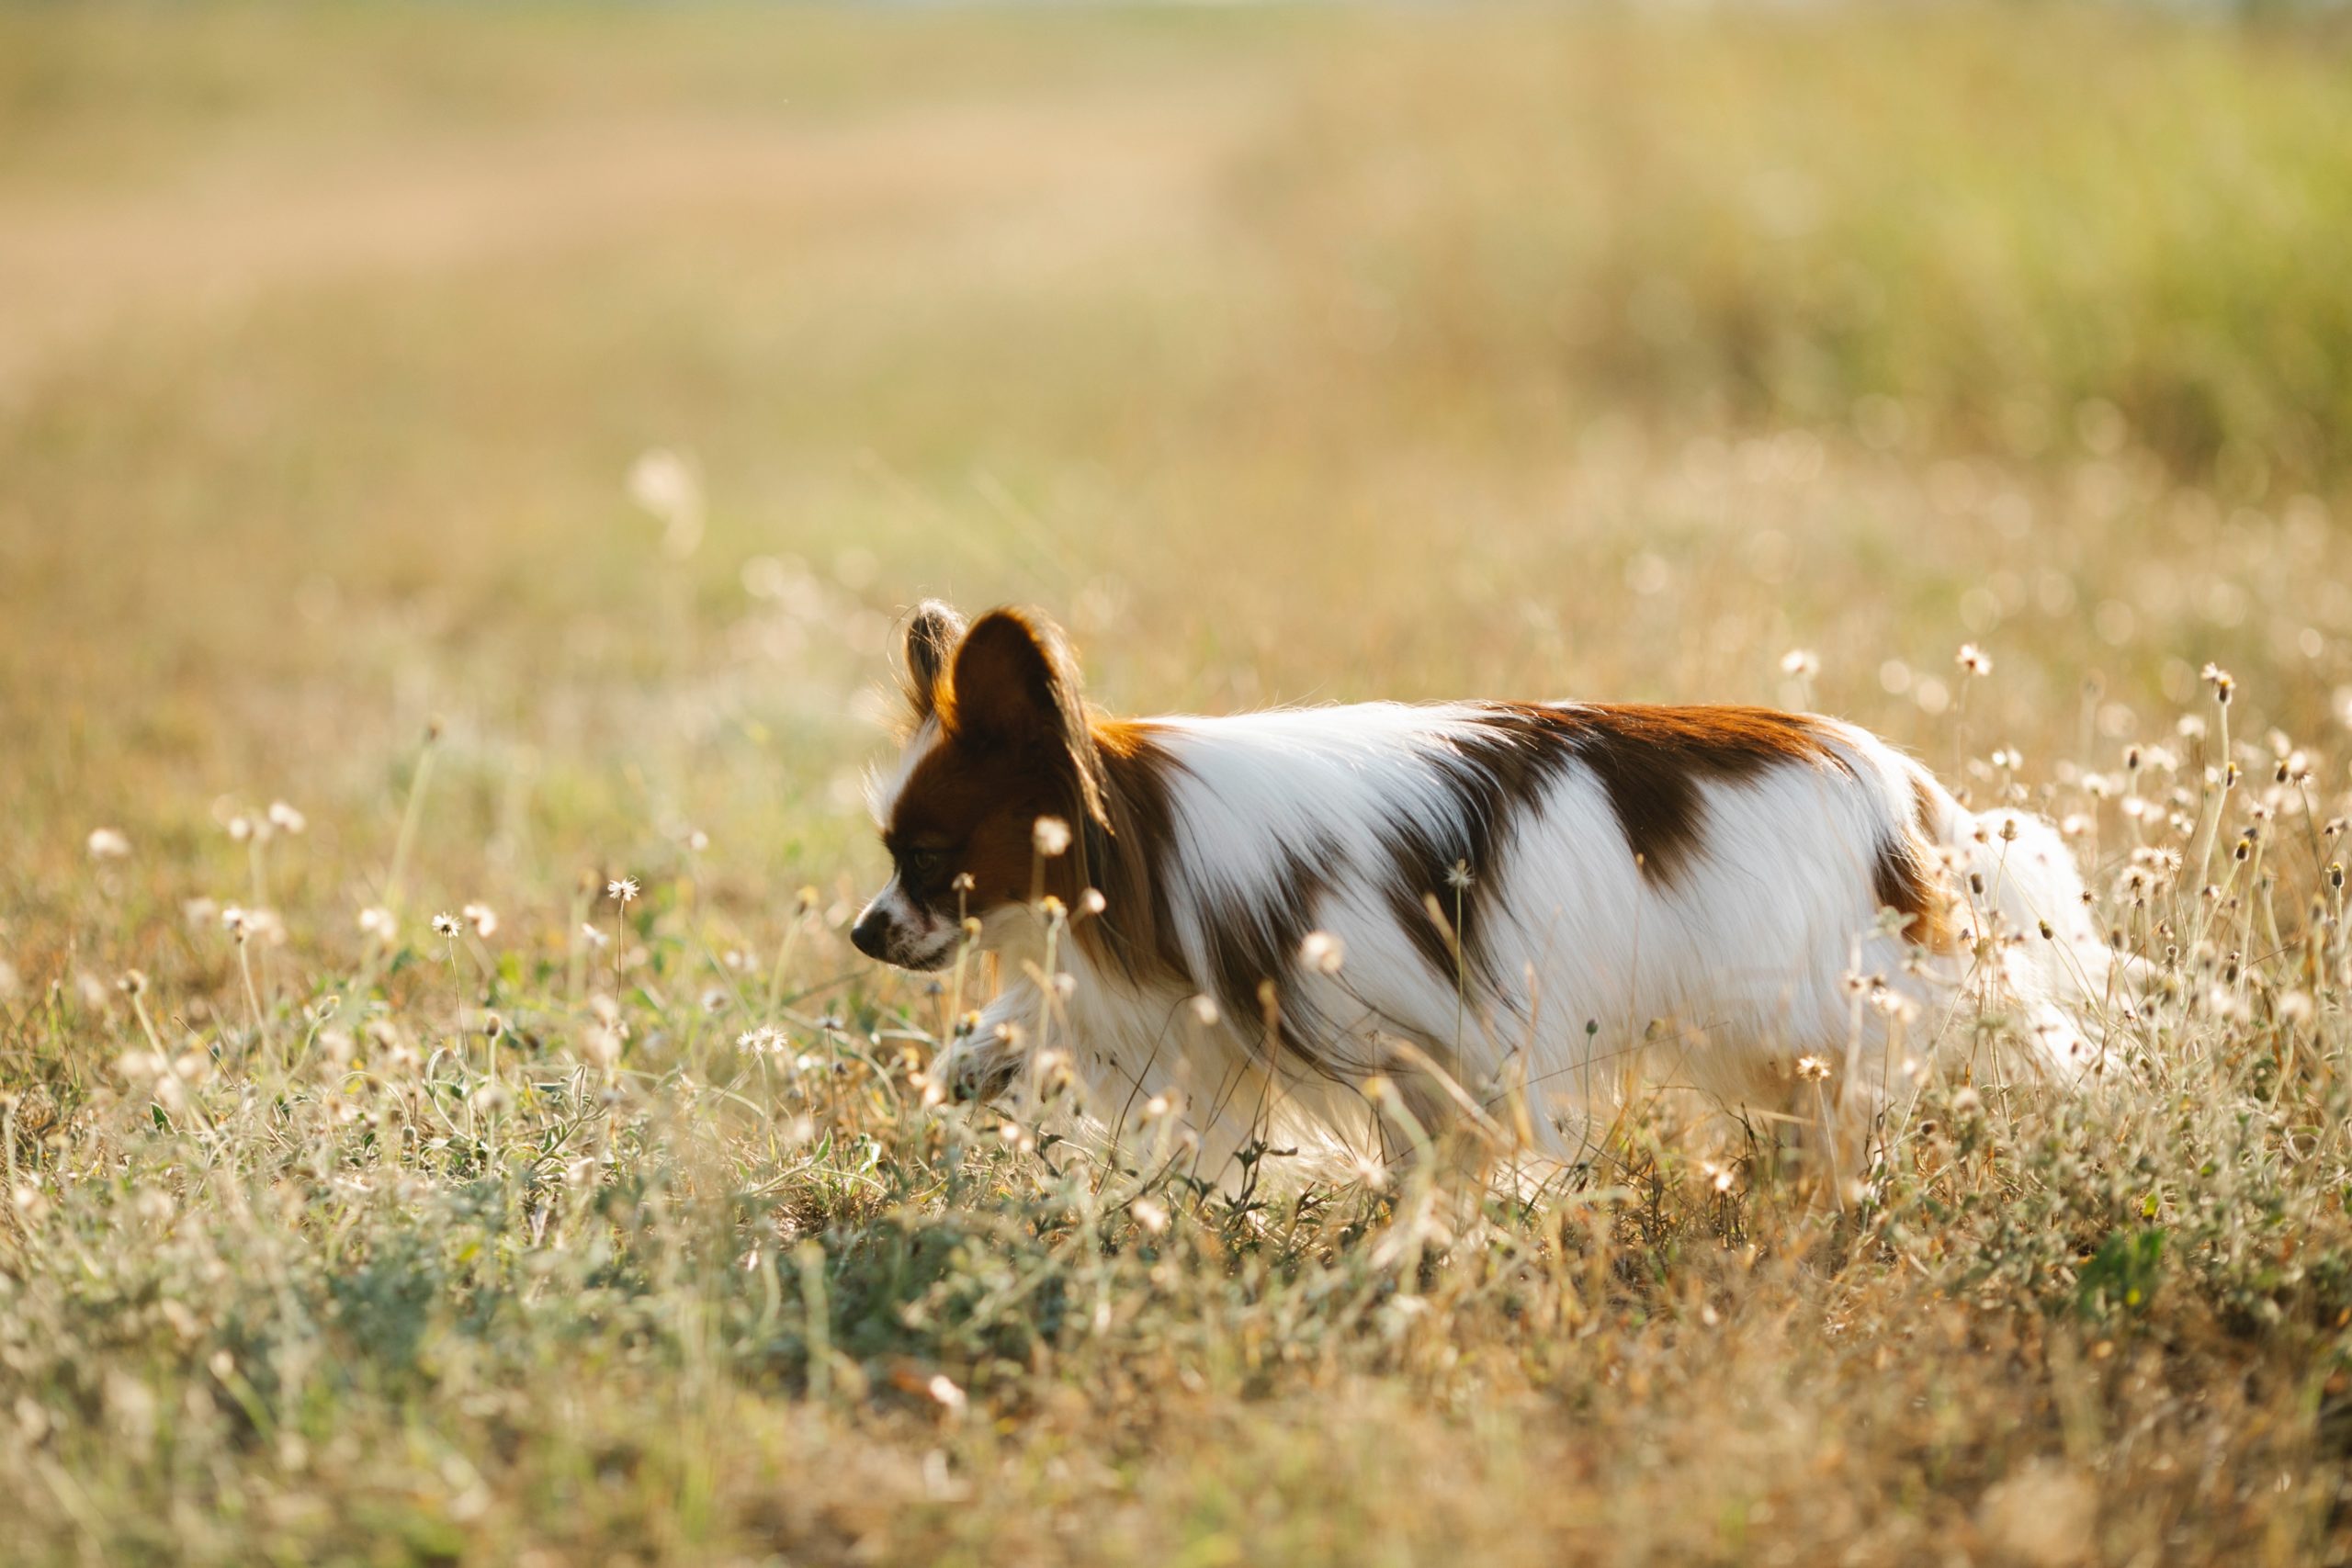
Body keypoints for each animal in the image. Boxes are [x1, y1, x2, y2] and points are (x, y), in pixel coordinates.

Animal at [860, 602, 2117, 1175]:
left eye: (923, 859)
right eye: (889, 855)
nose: (865, 933)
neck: (1155, 837)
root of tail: (1904, 785)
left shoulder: (1440, 1041)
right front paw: (981, 1055)